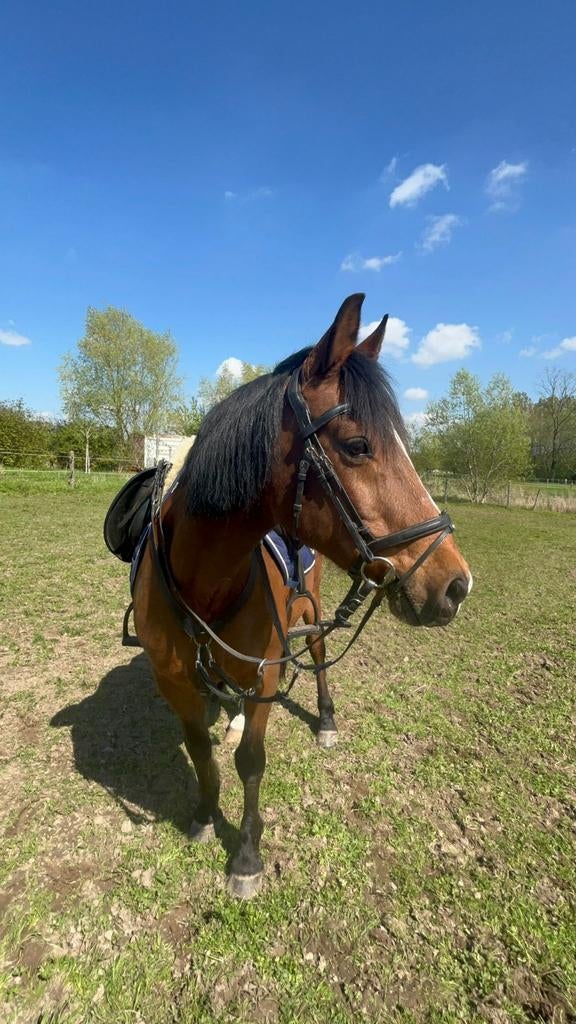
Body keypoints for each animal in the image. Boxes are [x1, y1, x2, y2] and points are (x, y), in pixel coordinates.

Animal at [131, 294, 472, 898]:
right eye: (358, 446)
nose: (456, 584)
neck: (205, 581)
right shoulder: (173, 680)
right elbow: (200, 751)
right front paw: (203, 815)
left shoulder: (266, 675)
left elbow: (251, 761)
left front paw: (246, 855)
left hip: (309, 612)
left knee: (315, 653)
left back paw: (325, 719)